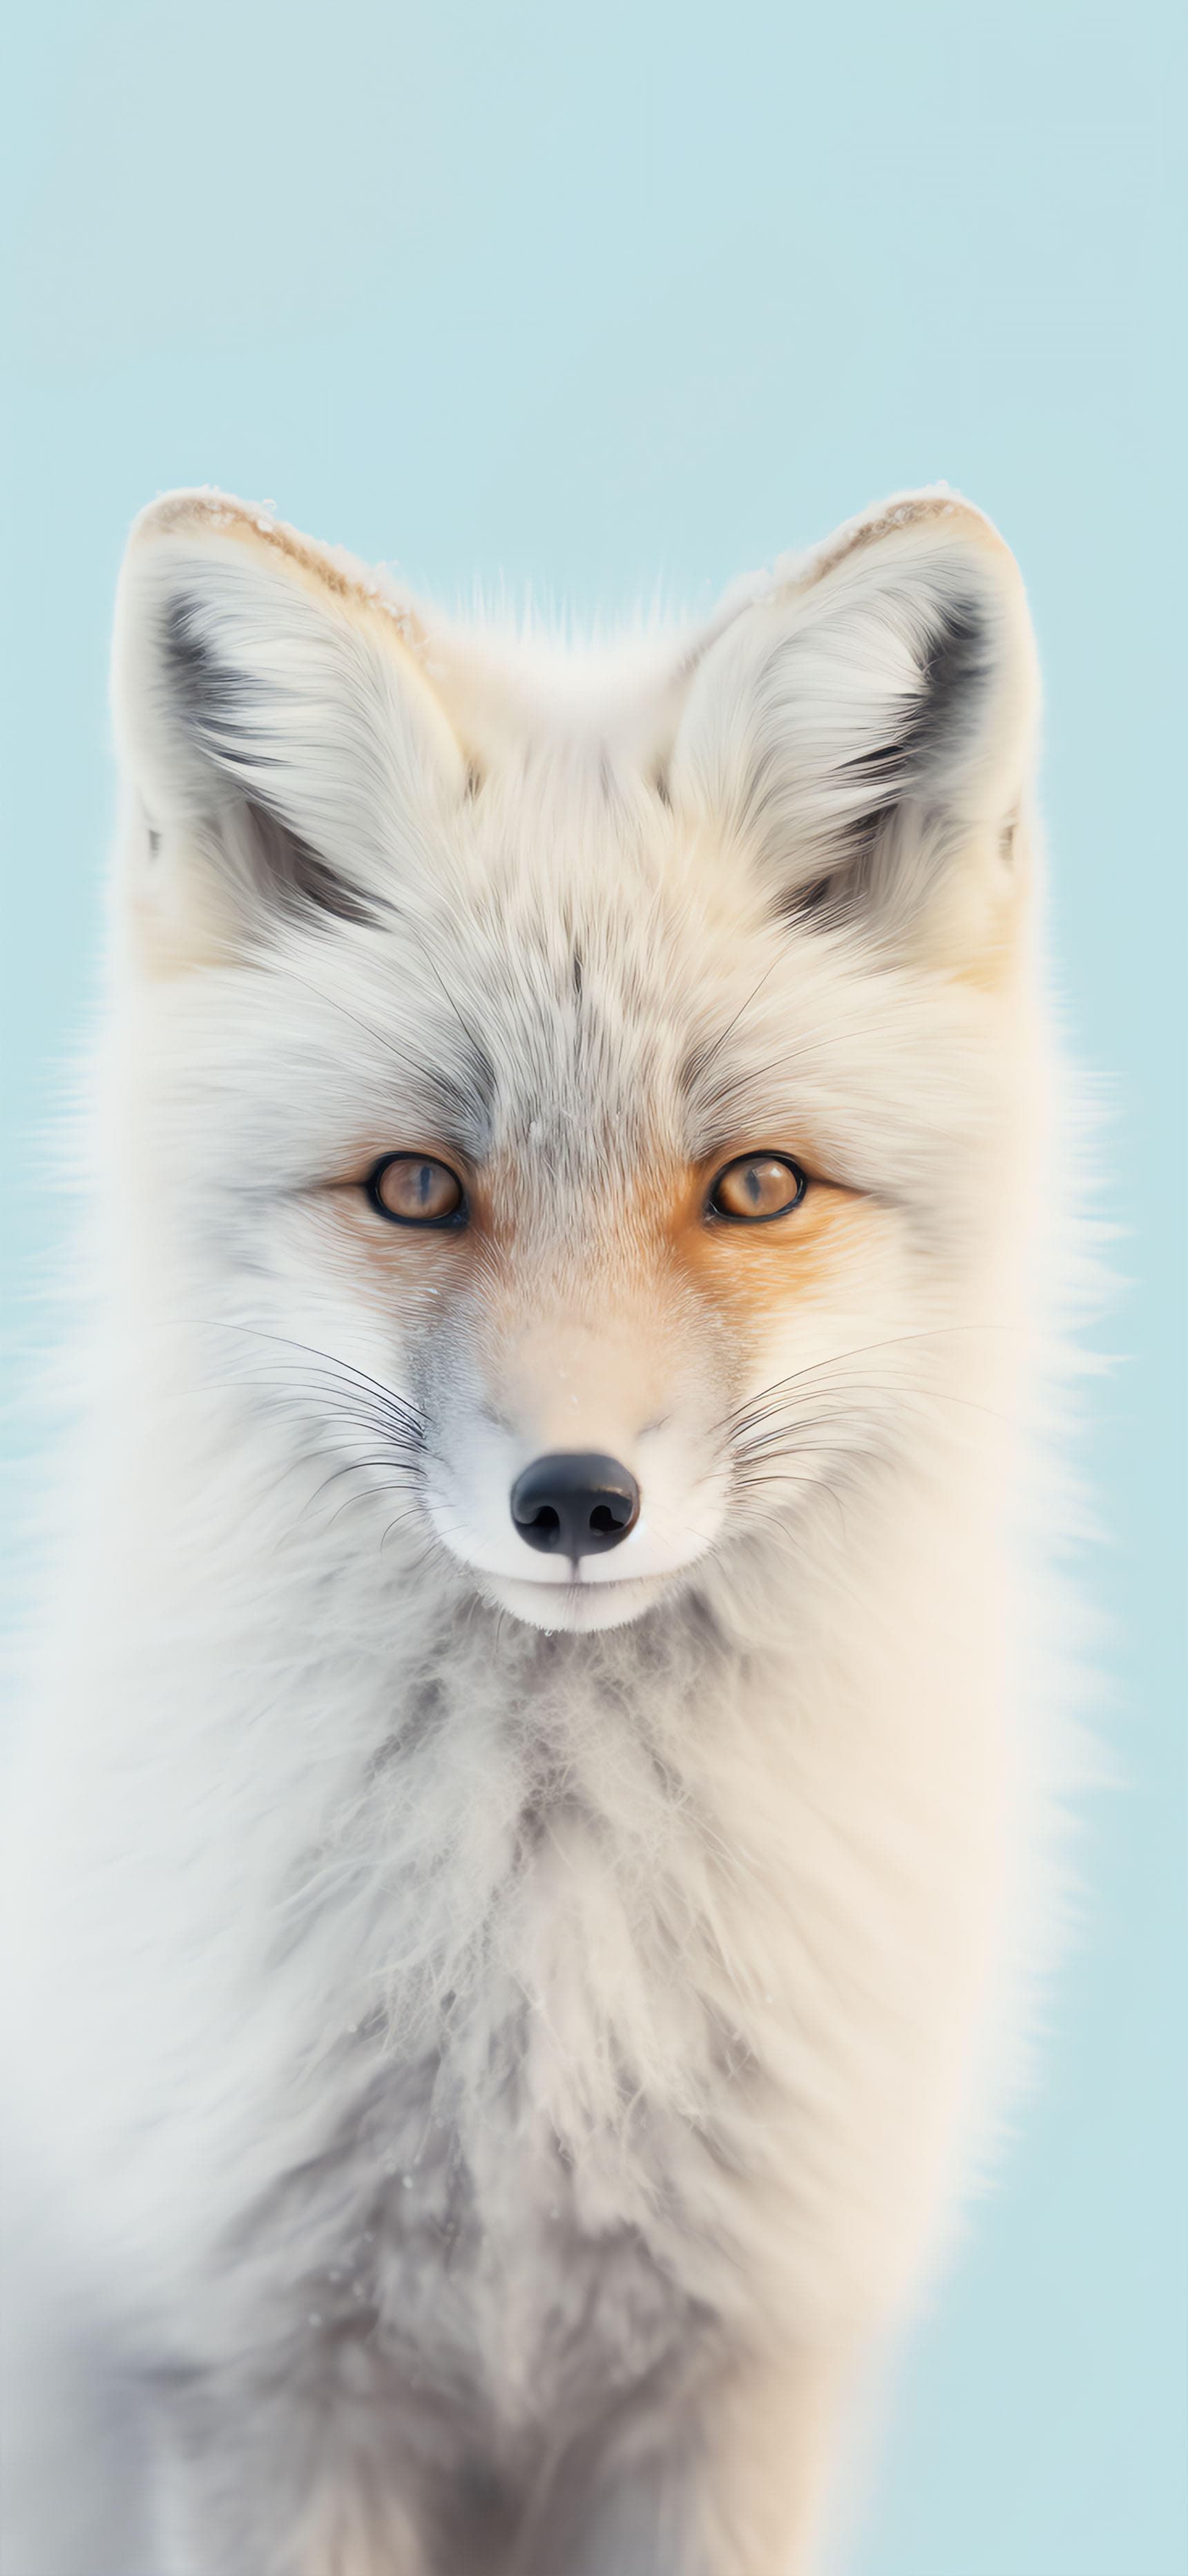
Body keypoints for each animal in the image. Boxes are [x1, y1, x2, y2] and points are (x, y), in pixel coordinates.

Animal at [0, 483, 1065, 2575]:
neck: (549, 1993)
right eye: (418, 1188)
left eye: (754, 1187)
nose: (575, 1500)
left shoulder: (732, 2378)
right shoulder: (265, 2375)